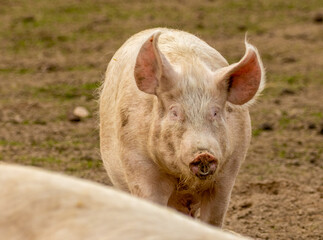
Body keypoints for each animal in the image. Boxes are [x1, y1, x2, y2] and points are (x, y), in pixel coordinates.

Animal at [100, 27, 266, 227]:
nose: (203, 154)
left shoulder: (228, 172)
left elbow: (214, 218)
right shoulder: (138, 164)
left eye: (215, 112)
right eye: (175, 112)